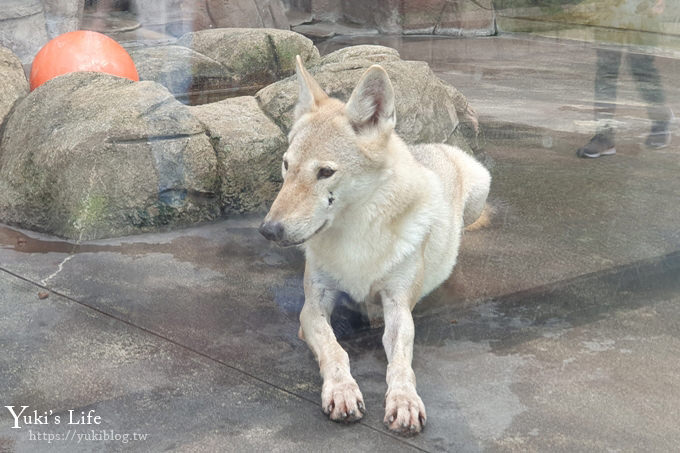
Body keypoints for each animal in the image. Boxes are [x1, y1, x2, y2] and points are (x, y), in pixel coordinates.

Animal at [258, 55, 488, 434]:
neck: (356, 236)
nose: (268, 230)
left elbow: (402, 364)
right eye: (286, 165)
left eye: (325, 172)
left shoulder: (398, 307)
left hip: (480, 191)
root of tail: (432, 145)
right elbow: (335, 350)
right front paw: (341, 390)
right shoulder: (312, 308)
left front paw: (405, 401)